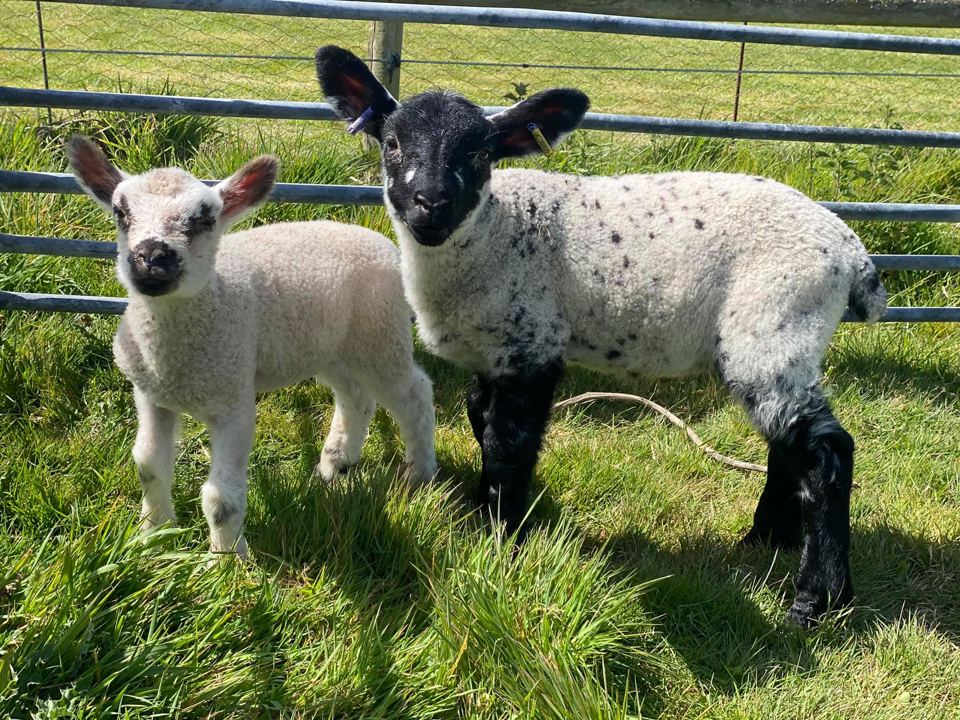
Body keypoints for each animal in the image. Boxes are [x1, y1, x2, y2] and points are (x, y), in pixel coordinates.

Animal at [67, 136, 437, 557]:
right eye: (120, 212)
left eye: (204, 219)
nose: (150, 257)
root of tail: (378, 241)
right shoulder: (151, 395)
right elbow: (148, 466)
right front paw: (154, 536)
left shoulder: (234, 403)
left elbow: (220, 499)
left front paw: (227, 562)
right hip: (331, 345)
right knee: (355, 397)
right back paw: (335, 465)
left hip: (380, 333)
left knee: (414, 393)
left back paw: (419, 474)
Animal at [315, 46, 888, 627]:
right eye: (391, 142)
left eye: (481, 152)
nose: (430, 203)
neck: (492, 235)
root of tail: (852, 254)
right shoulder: (494, 346)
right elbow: (480, 416)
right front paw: (490, 509)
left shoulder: (534, 343)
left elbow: (509, 443)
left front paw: (501, 538)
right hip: (779, 339)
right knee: (789, 443)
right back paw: (768, 539)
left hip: (775, 320)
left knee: (827, 450)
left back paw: (816, 599)